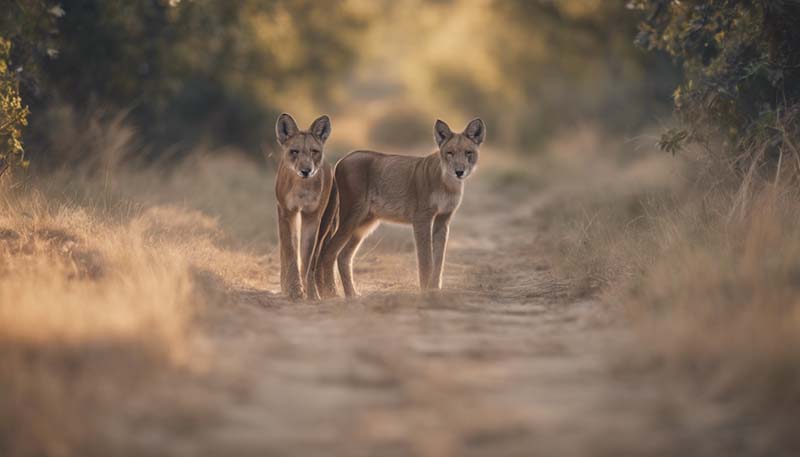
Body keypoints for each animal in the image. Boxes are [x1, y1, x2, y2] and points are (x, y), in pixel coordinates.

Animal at [276, 112, 334, 300]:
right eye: (294, 151)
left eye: (314, 151)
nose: (306, 170)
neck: (302, 187)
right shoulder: (287, 212)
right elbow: (290, 250)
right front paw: (293, 289)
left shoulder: (312, 216)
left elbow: (307, 256)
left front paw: (311, 293)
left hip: (325, 222)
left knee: (314, 255)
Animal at [316, 117, 484, 298]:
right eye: (450, 153)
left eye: (468, 152)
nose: (459, 171)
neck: (450, 184)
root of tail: (342, 160)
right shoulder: (422, 218)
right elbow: (426, 260)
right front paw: (426, 291)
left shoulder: (443, 219)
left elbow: (439, 259)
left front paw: (434, 289)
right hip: (352, 216)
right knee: (328, 252)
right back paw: (332, 295)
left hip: (365, 223)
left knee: (343, 256)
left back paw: (352, 294)